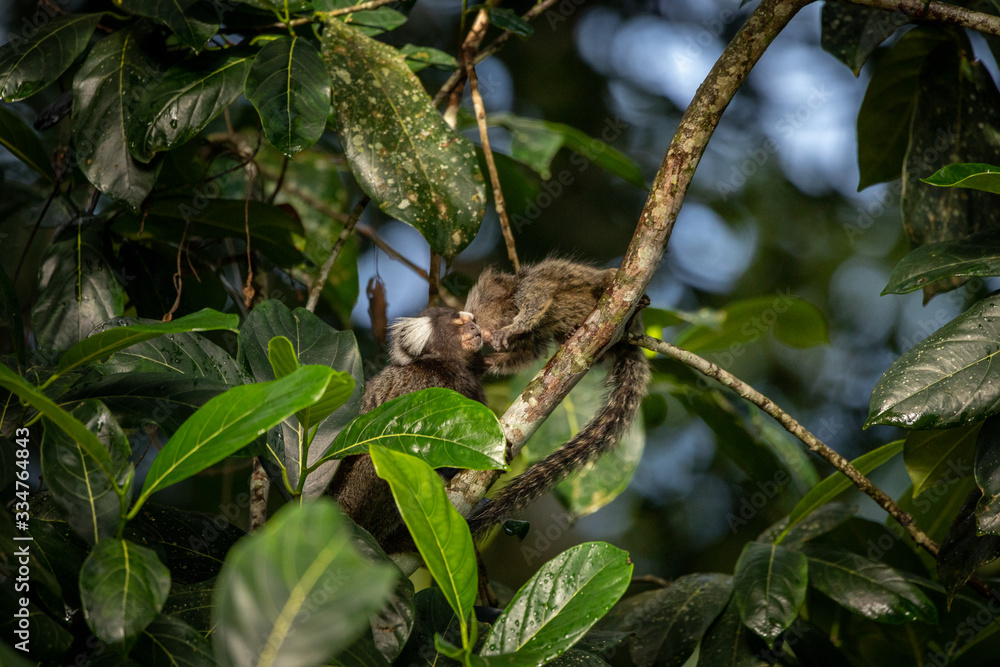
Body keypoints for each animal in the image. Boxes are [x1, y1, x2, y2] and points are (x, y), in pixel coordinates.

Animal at [458, 258, 648, 536]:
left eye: (477, 326)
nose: (483, 337)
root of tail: (629, 341)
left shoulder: (530, 286)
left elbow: (538, 300)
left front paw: (509, 330)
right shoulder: (531, 336)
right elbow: (528, 351)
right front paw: (487, 361)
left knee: (607, 284)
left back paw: (620, 293)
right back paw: (572, 334)